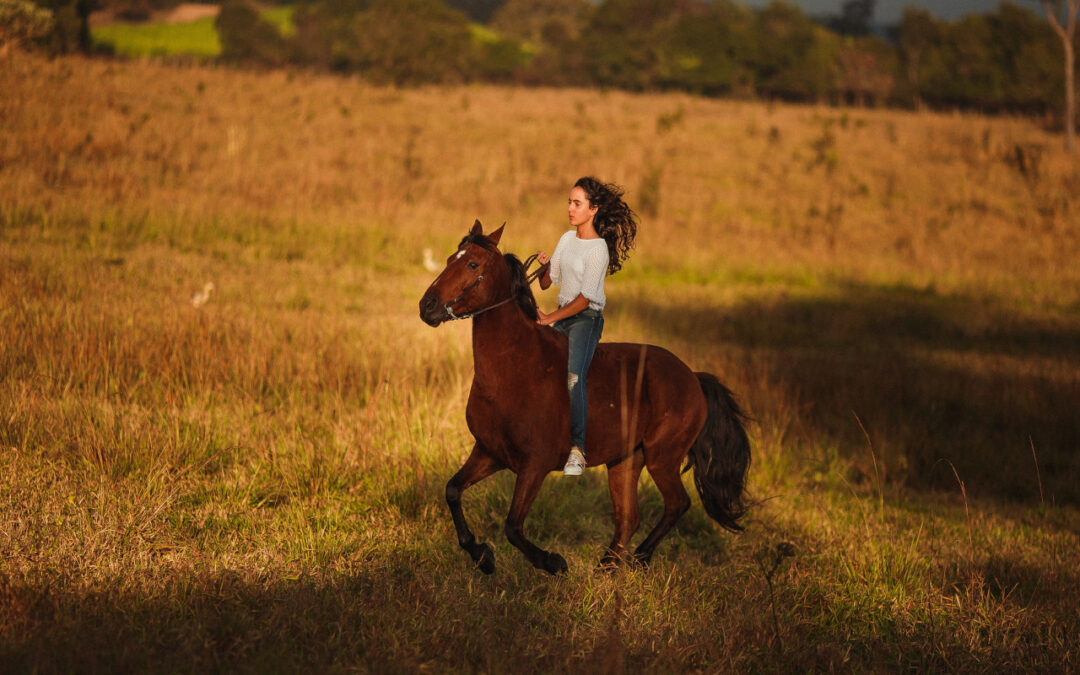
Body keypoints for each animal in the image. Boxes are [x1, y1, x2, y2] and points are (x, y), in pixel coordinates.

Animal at [416, 221, 747, 574]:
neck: (515, 369)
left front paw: (553, 562)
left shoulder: (535, 465)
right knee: (629, 517)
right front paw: (482, 556)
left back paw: (639, 558)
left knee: (676, 503)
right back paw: (607, 566)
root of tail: (692, 377)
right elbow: (453, 491)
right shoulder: (489, 453)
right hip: (625, 461)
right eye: (449, 259)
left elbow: (513, 526)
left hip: (663, 458)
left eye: (472, 264)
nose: (427, 306)